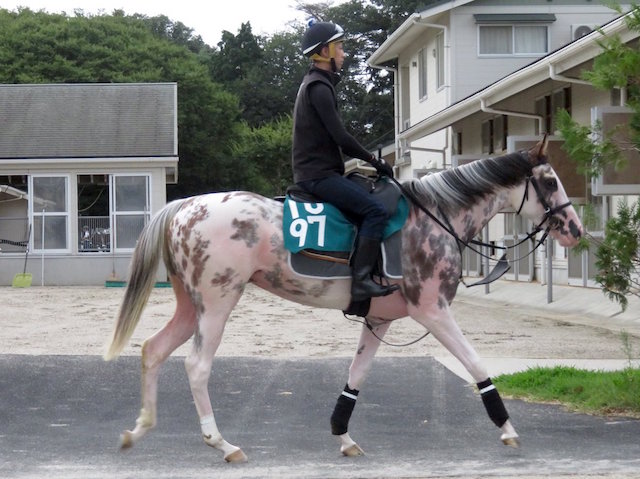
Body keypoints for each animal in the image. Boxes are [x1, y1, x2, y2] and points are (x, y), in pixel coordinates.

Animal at [105, 137, 584, 464]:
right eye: (549, 181)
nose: (575, 229)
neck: (434, 218)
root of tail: (185, 206)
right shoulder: (433, 311)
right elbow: (476, 364)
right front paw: (507, 427)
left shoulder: (382, 320)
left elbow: (357, 375)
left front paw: (343, 435)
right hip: (218, 303)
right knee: (196, 366)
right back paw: (222, 443)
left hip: (192, 306)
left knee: (154, 350)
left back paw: (137, 430)